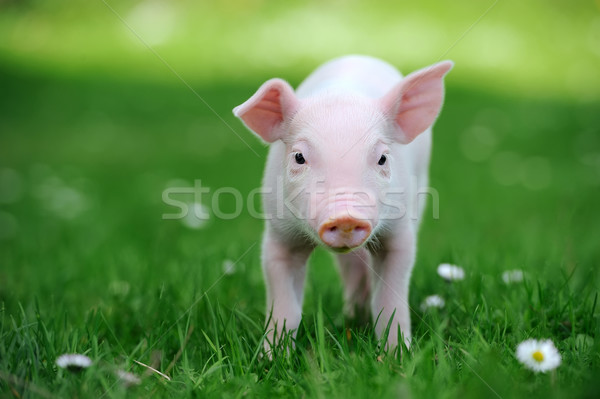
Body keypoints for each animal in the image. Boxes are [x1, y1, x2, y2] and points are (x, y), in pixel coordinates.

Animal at [232, 54, 452, 354]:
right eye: (299, 157)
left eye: (382, 158)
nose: (346, 216)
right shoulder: (279, 235)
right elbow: (285, 305)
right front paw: (271, 357)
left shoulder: (399, 232)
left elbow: (391, 299)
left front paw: (397, 355)